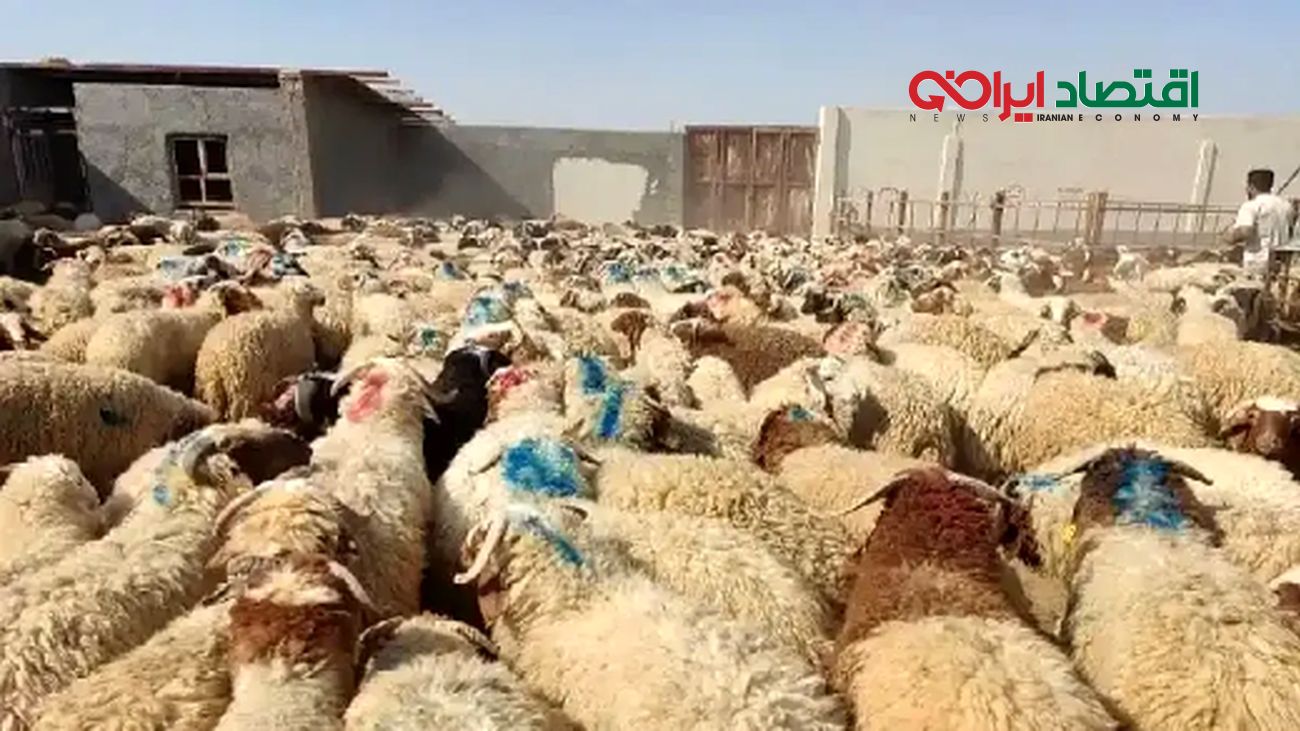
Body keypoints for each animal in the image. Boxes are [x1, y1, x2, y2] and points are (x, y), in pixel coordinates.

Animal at [195, 277, 324, 420]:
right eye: (308, 286)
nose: (323, 298)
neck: (296, 313)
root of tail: (217, 358)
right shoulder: (302, 366)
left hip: (213, 389)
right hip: (245, 385)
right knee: (242, 413)